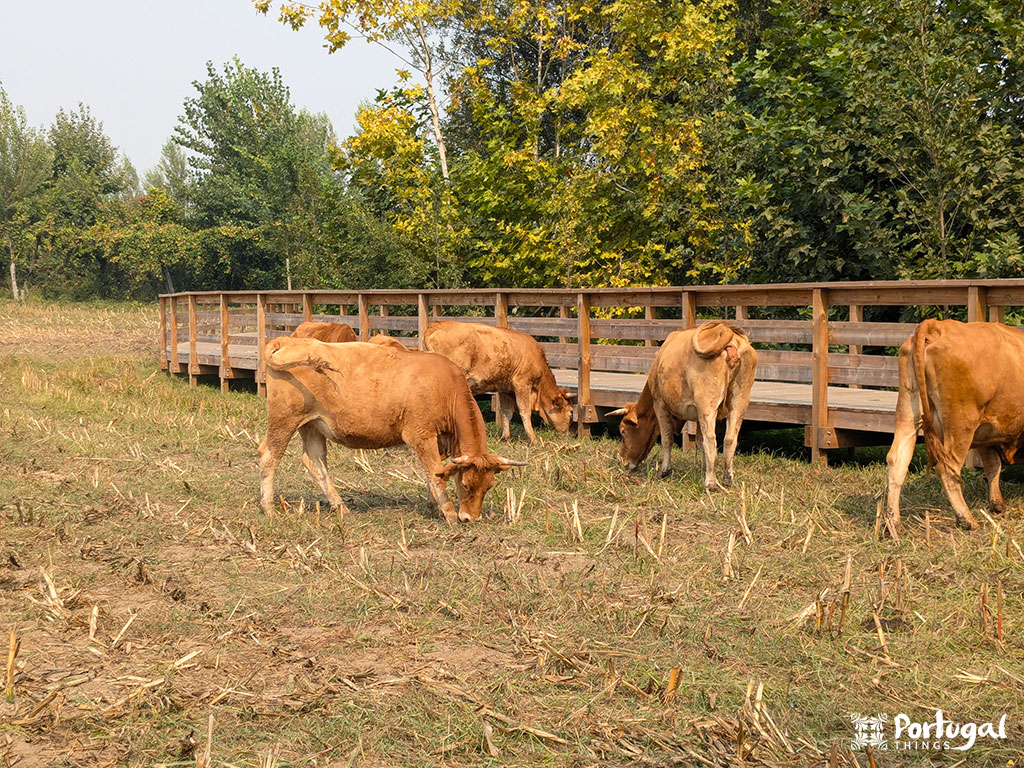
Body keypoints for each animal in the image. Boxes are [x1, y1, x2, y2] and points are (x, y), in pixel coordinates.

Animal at [257, 336, 524, 523]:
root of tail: (286, 341)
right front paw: (448, 513)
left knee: (314, 462)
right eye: (467, 485)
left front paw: (434, 505)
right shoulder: (421, 435)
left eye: (488, 486)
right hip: (284, 421)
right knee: (270, 457)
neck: (445, 387)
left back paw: (340, 506)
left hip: (312, 425)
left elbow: (433, 474)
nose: (471, 518)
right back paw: (268, 508)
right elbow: (435, 473)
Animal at [424, 320, 575, 443]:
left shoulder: (504, 389)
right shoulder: (522, 383)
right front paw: (533, 439)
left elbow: (506, 412)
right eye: (571, 412)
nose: (568, 435)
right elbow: (524, 411)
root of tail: (437, 325)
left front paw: (505, 437)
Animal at [608, 322, 756, 492]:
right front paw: (704, 469)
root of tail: (725, 331)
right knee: (730, 439)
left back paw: (710, 483)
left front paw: (665, 471)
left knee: (711, 440)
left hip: (707, 404)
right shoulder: (698, 416)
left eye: (623, 431)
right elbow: (699, 441)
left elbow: (667, 438)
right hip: (739, 401)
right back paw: (727, 478)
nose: (623, 461)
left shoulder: (660, 404)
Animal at [885, 319, 1024, 536]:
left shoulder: (987, 433)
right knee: (947, 469)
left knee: (897, 461)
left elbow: (993, 465)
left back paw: (892, 525)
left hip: (908, 411)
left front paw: (997, 504)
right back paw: (966, 520)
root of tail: (936, 326)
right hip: (960, 423)